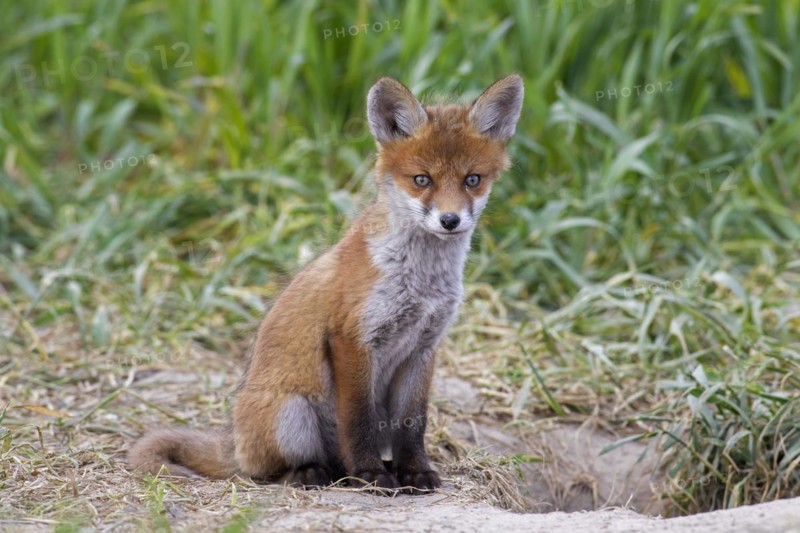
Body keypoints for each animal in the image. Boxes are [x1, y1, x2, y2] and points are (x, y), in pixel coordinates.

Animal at [128, 74, 524, 493]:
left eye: (472, 180)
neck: (421, 283)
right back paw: (315, 473)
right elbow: (357, 419)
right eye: (422, 180)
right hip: (292, 414)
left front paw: (414, 471)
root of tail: (233, 439)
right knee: (264, 472)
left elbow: (412, 424)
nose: (450, 221)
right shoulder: (351, 337)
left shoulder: (424, 348)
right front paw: (370, 474)